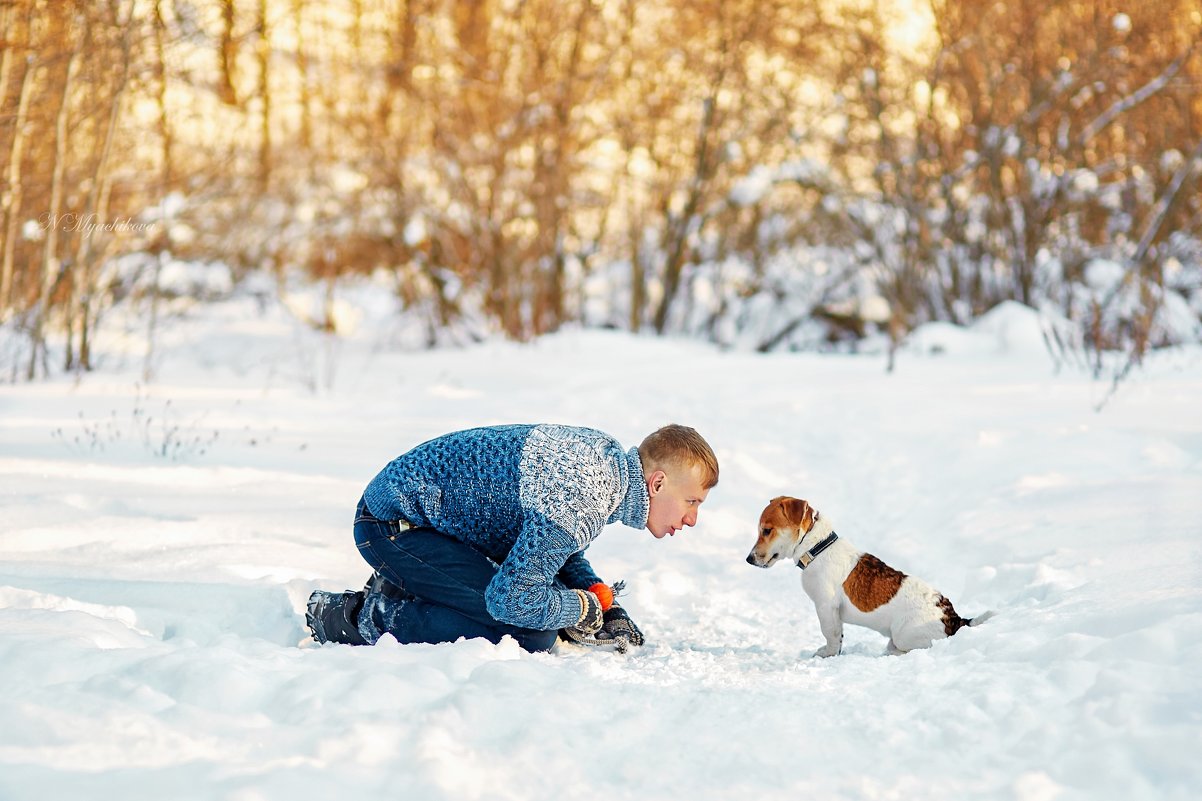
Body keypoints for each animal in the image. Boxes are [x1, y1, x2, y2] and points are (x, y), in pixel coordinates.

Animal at [740, 493, 995, 654]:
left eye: (767, 530)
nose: (749, 559)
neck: (817, 547)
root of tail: (954, 618)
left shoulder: (826, 606)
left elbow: (830, 634)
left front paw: (827, 654)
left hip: (904, 634)